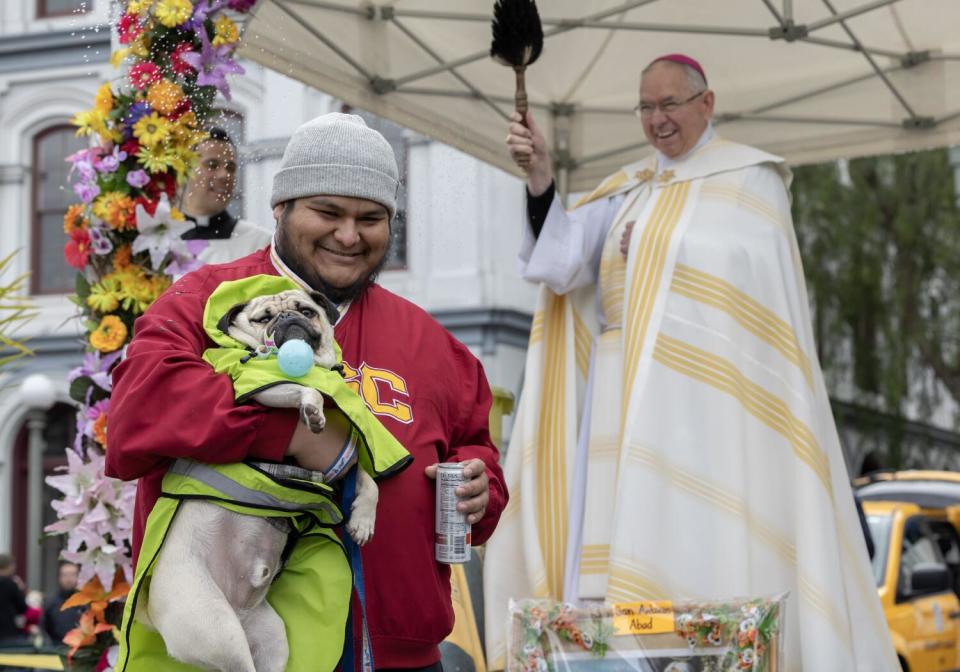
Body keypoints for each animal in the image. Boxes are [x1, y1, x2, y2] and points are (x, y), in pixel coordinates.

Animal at [142, 288, 378, 672]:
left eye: (306, 311)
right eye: (263, 318)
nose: (287, 318)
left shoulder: (346, 460)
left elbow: (370, 482)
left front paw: (363, 521)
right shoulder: (262, 385)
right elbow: (302, 389)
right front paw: (312, 410)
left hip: (270, 637)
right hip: (218, 628)